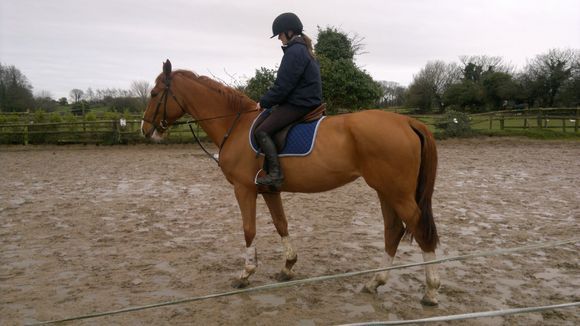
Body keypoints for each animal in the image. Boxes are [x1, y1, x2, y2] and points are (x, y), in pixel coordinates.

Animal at [143, 60, 442, 306]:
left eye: (155, 94)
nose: (146, 130)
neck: (234, 125)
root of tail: (408, 121)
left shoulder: (244, 190)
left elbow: (249, 230)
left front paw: (246, 274)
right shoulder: (268, 190)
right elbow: (281, 224)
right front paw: (288, 266)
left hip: (397, 192)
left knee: (419, 230)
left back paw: (430, 291)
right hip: (384, 190)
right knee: (393, 230)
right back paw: (374, 282)